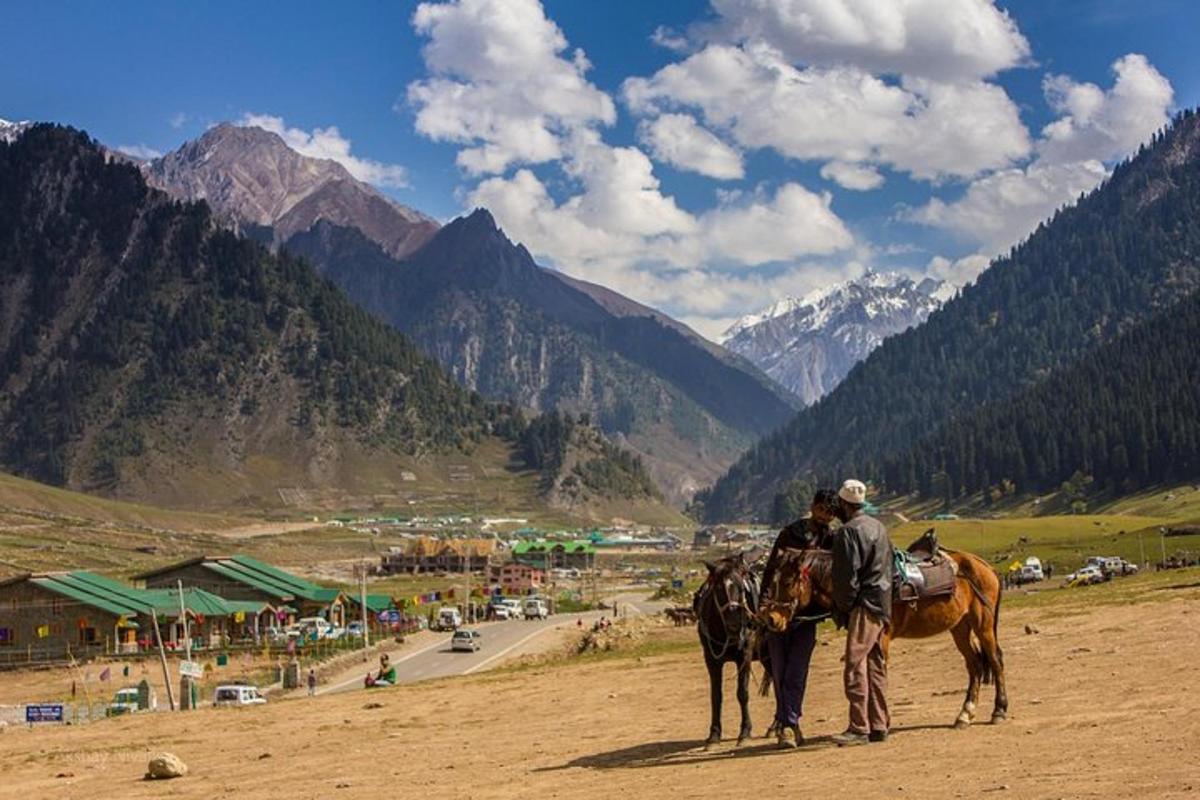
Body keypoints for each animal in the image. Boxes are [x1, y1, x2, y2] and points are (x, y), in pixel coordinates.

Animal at [696, 554, 758, 748]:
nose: (734, 623)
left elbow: (742, 693)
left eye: (741, 587)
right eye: (717, 588)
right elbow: (716, 696)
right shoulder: (711, 660)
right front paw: (714, 734)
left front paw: (745, 732)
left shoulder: (745, 656)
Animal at [763, 546, 1008, 729]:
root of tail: (986, 566)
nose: (771, 619)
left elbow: (877, 672)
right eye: (772, 581)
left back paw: (999, 710)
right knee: (975, 665)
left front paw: (881, 722)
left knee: (995, 660)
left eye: (787, 583)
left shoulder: (882, 638)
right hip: (960, 627)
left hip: (983, 625)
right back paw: (965, 714)